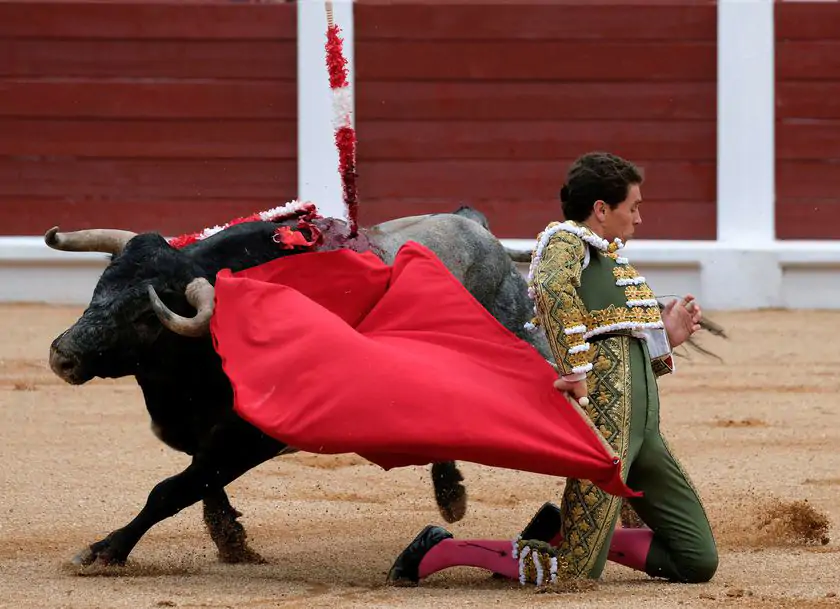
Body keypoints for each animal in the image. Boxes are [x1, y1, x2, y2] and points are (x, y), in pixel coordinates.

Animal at [46, 207, 720, 568]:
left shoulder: (253, 434)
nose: (61, 353)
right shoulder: (202, 430)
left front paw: (104, 551)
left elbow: (172, 488)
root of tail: (476, 227)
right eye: (100, 286)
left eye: (145, 314)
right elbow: (200, 483)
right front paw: (232, 540)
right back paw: (451, 495)